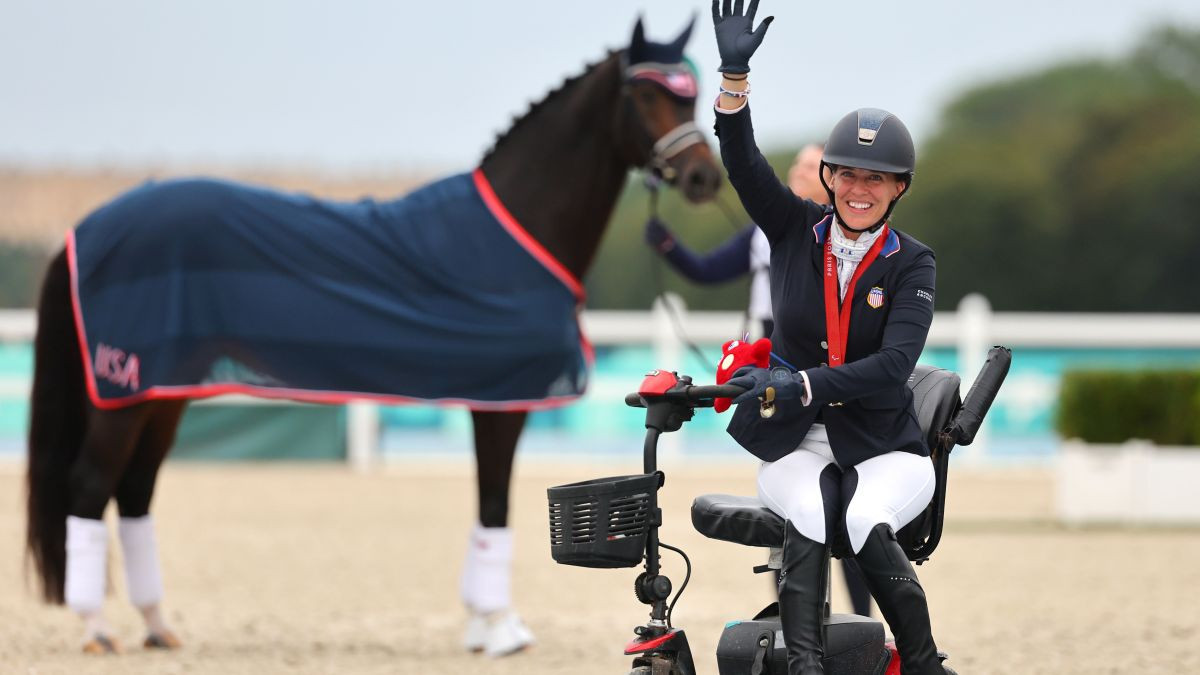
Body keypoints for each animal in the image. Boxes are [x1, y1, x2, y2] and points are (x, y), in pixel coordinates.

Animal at [25, 18, 720, 653]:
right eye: (648, 93)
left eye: (691, 93)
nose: (705, 178)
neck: (515, 230)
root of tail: (85, 229)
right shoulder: (504, 403)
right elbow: (495, 506)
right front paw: (500, 628)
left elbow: (484, 507)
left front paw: (479, 625)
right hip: (124, 390)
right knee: (90, 488)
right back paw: (97, 630)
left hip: (162, 393)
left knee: (134, 495)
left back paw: (157, 626)